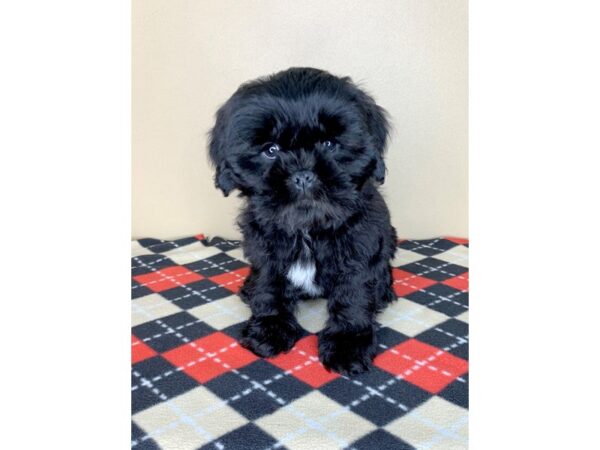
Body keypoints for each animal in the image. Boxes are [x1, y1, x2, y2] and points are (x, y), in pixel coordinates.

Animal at [209, 67, 396, 374]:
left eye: (330, 144)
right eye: (270, 150)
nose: (303, 175)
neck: (308, 228)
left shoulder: (360, 247)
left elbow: (353, 292)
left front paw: (348, 342)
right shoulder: (266, 250)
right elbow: (270, 286)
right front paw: (269, 328)